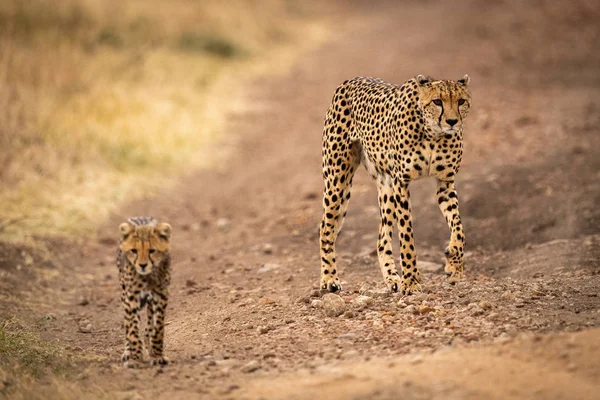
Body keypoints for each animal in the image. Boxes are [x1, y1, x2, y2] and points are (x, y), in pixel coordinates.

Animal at [117, 217, 172, 368]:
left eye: (152, 250)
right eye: (134, 250)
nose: (142, 265)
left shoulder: (160, 294)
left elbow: (158, 327)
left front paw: (157, 355)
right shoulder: (131, 296)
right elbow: (132, 329)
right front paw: (135, 357)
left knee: (149, 323)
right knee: (127, 322)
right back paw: (129, 351)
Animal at [322, 74, 472, 294]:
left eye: (461, 101)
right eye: (437, 101)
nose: (452, 121)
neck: (433, 134)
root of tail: (351, 80)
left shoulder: (445, 182)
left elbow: (459, 227)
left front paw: (454, 264)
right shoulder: (402, 183)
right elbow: (407, 236)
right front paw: (411, 282)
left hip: (386, 188)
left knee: (381, 239)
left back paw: (393, 279)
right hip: (338, 182)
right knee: (326, 229)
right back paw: (329, 279)